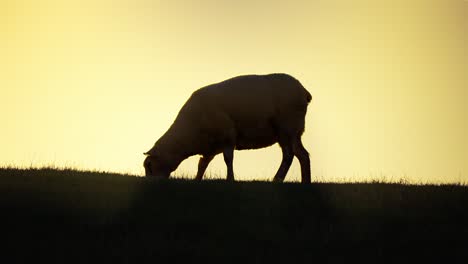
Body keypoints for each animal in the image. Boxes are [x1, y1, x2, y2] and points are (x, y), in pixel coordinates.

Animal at [143, 73, 310, 183]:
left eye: (149, 165)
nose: (150, 183)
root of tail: (304, 92)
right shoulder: (211, 147)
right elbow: (202, 164)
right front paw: (197, 179)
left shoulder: (228, 135)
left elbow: (228, 159)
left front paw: (230, 179)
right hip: (295, 132)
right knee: (303, 155)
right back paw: (305, 182)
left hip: (286, 128)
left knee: (288, 155)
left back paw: (277, 179)